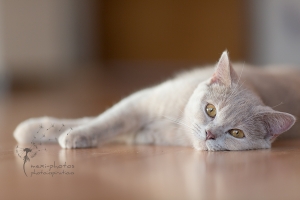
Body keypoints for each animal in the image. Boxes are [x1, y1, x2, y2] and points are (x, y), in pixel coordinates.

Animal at [13, 50, 298, 151]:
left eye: (237, 133)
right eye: (211, 109)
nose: (209, 134)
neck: (177, 125)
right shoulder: (141, 101)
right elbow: (104, 121)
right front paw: (38, 129)